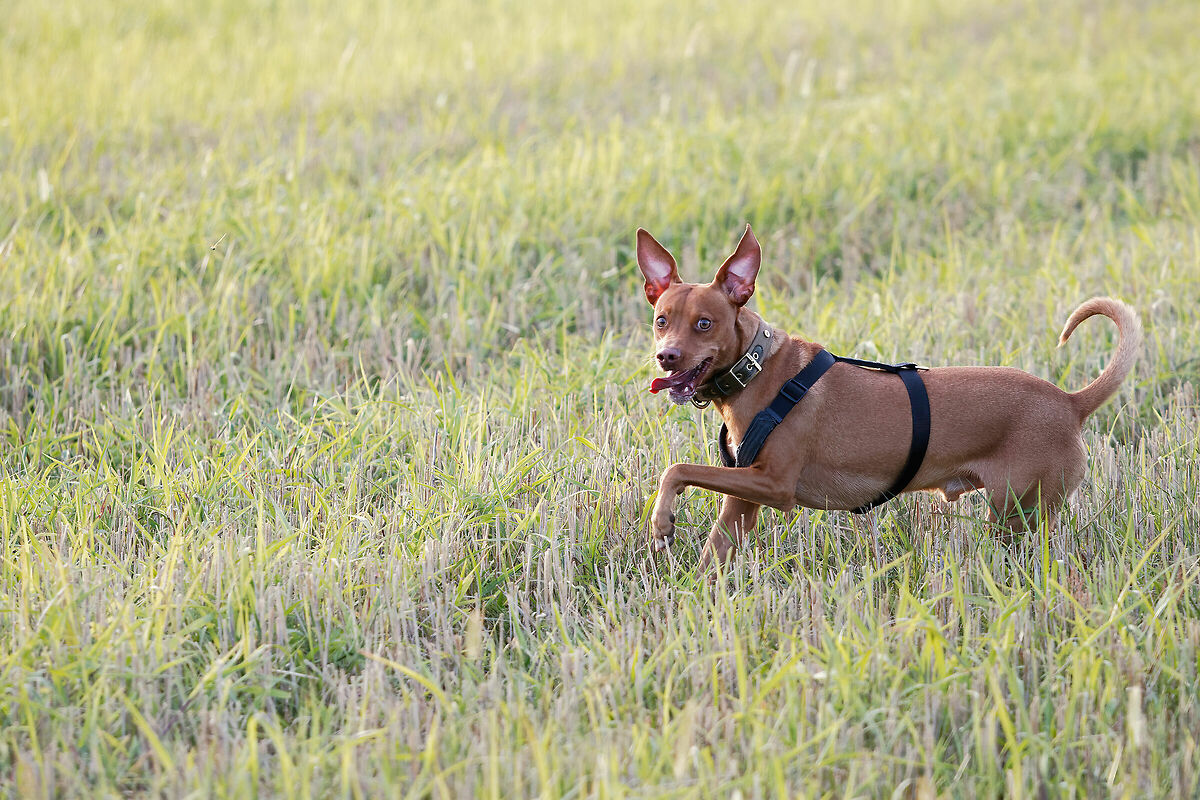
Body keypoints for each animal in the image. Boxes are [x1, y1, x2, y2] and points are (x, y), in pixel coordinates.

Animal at [637, 224, 1140, 570]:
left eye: (704, 323)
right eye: (662, 319)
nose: (666, 357)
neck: (757, 368)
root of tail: (1069, 402)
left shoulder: (774, 485)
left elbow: (676, 468)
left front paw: (661, 521)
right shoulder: (742, 502)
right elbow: (712, 555)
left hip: (1019, 514)